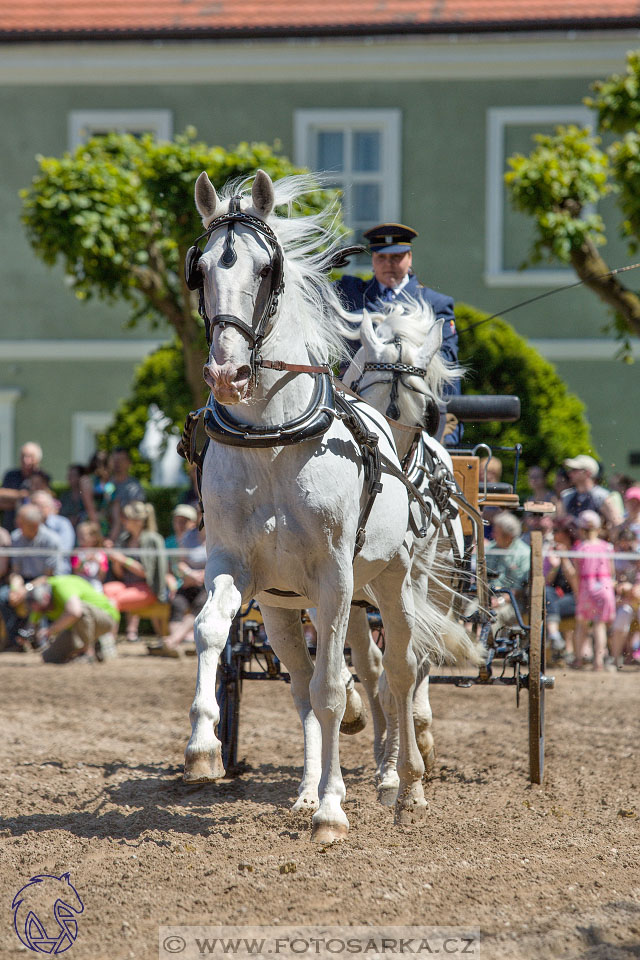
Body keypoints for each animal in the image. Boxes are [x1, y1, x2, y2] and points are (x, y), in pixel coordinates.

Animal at [182, 171, 444, 840]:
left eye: (266, 269)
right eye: (200, 269)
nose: (227, 375)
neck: (273, 439)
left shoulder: (335, 574)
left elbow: (335, 687)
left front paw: (333, 809)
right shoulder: (233, 564)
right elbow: (211, 631)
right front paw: (202, 747)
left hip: (391, 581)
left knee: (398, 671)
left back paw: (404, 783)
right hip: (287, 605)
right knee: (309, 683)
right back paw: (309, 788)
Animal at [342, 300, 482, 804]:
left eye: (423, 415)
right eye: (368, 408)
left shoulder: (412, 581)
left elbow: (406, 665)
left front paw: (402, 765)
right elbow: (365, 668)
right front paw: (364, 725)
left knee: (415, 659)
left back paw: (415, 736)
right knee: (375, 666)